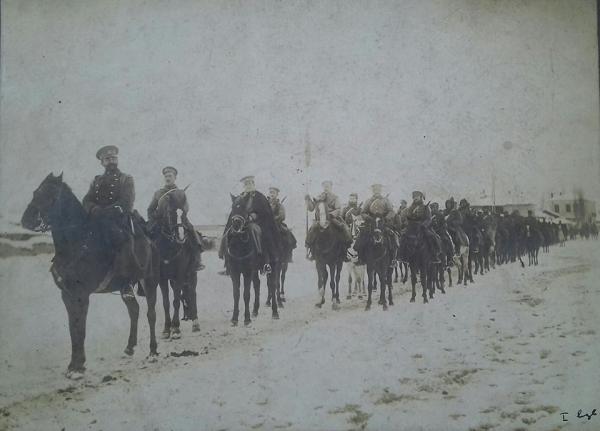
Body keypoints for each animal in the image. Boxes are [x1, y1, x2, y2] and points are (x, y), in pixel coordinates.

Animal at [21, 174, 159, 380]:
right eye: (35, 192)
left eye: (50, 194)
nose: (26, 220)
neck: (77, 243)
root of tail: (149, 238)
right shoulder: (67, 295)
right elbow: (73, 328)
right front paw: (74, 365)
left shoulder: (81, 295)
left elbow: (81, 329)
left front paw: (78, 367)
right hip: (125, 286)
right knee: (134, 310)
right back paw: (129, 347)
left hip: (149, 281)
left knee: (151, 314)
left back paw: (153, 352)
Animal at [152, 191, 202, 340]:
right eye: (170, 212)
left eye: (184, 212)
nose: (181, 237)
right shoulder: (162, 278)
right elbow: (166, 303)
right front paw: (166, 329)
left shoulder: (180, 275)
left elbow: (175, 301)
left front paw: (175, 329)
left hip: (191, 274)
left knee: (192, 293)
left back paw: (195, 323)